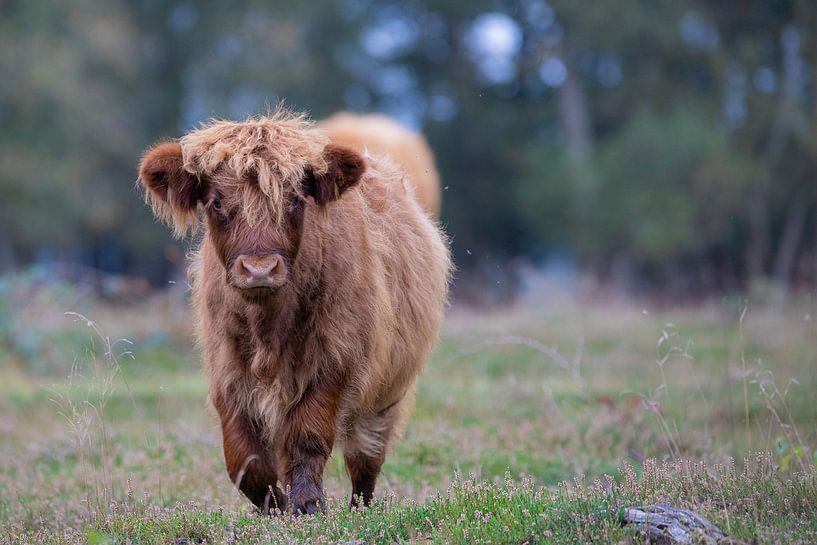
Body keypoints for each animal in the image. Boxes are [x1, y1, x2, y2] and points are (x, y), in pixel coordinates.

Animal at [138, 109, 451, 515]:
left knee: (366, 456)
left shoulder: (335, 360)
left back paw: (360, 509)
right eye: (217, 202)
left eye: (294, 200)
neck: (268, 326)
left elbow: (307, 435)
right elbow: (245, 458)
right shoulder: (227, 371)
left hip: (387, 392)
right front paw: (274, 507)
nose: (259, 269)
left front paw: (306, 505)